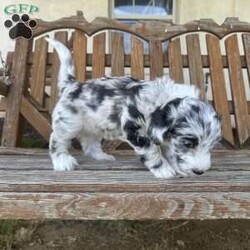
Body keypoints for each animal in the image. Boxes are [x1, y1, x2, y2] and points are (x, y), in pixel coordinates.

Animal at [45, 37, 221, 178]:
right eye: (188, 144)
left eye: (211, 146)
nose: (199, 171)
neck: (163, 99)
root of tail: (72, 85)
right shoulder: (135, 129)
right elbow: (152, 151)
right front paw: (163, 170)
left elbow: (169, 150)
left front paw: (176, 167)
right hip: (69, 123)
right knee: (56, 139)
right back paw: (62, 161)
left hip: (94, 125)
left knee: (89, 144)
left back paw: (101, 156)